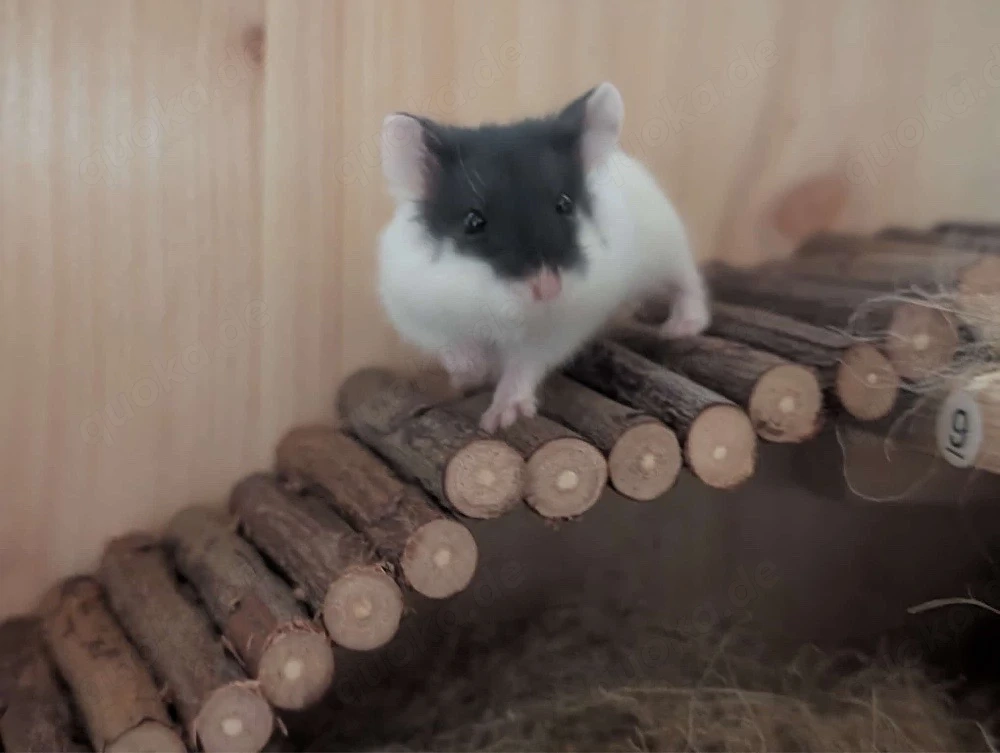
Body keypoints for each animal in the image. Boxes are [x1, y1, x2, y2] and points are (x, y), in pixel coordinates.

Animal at [376, 82, 710, 432]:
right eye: (473, 221)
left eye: (565, 204)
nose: (548, 289)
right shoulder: (417, 315)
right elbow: (455, 347)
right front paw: (472, 375)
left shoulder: (557, 331)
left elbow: (524, 366)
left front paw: (500, 420)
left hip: (668, 249)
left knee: (688, 284)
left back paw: (680, 327)